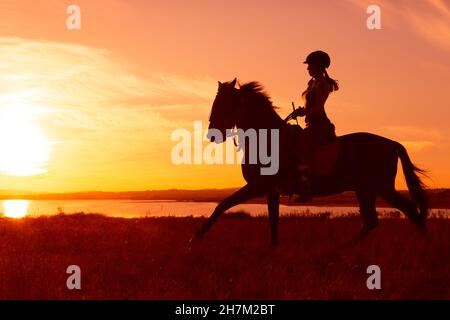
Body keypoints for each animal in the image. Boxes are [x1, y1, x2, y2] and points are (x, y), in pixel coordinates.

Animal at [190, 77, 428, 245]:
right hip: (365, 189)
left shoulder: (257, 186)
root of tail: (391, 143)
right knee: (371, 221)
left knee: (408, 210)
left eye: (224, 104)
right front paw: (273, 250)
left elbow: (223, 204)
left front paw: (196, 237)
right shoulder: (270, 190)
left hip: (380, 187)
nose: (212, 135)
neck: (267, 138)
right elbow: (273, 221)